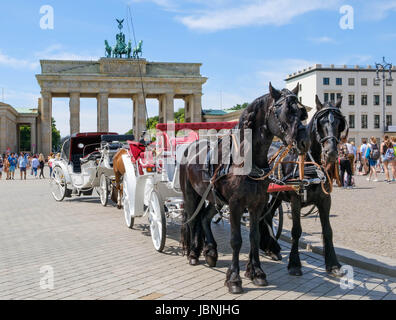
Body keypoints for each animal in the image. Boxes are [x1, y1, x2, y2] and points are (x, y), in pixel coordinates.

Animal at [178, 84, 310, 294]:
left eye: (301, 112)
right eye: (286, 112)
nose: (305, 142)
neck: (246, 159)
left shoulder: (257, 204)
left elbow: (254, 236)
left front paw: (256, 272)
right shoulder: (235, 205)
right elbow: (236, 240)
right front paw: (234, 279)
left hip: (215, 199)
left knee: (204, 218)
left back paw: (210, 251)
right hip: (191, 195)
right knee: (192, 221)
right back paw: (193, 253)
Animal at [260, 94, 346, 278]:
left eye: (339, 123)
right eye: (321, 122)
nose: (331, 152)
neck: (310, 165)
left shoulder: (325, 200)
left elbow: (328, 231)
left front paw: (333, 264)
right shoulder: (295, 200)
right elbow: (296, 230)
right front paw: (294, 264)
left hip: (277, 195)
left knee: (268, 215)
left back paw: (271, 248)